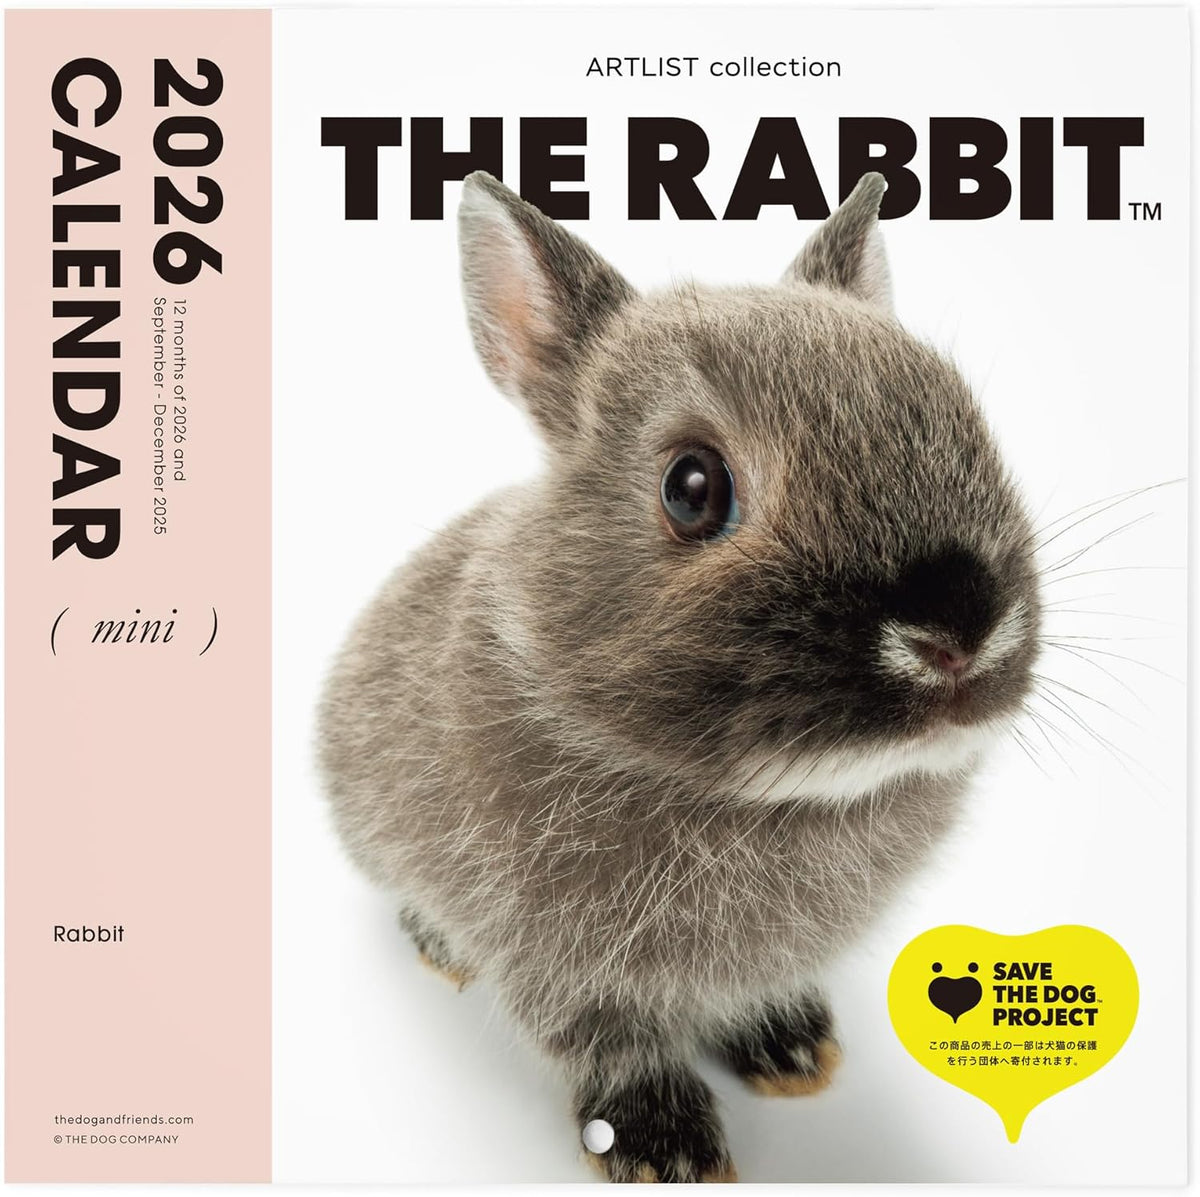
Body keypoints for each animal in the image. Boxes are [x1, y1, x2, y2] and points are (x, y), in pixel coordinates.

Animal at [317, 169, 1041, 1182]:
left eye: (962, 417)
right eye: (692, 488)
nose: (959, 632)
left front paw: (792, 1049)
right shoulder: (556, 960)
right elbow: (607, 1041)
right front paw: (665, 1148)